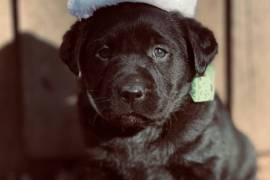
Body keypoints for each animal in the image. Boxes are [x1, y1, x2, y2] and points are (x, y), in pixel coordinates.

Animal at [60, 2, 256, 179]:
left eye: (159, 52)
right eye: (103, 53)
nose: (131, 92)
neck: (140, 135)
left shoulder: (202, 162)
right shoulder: (97, 165)